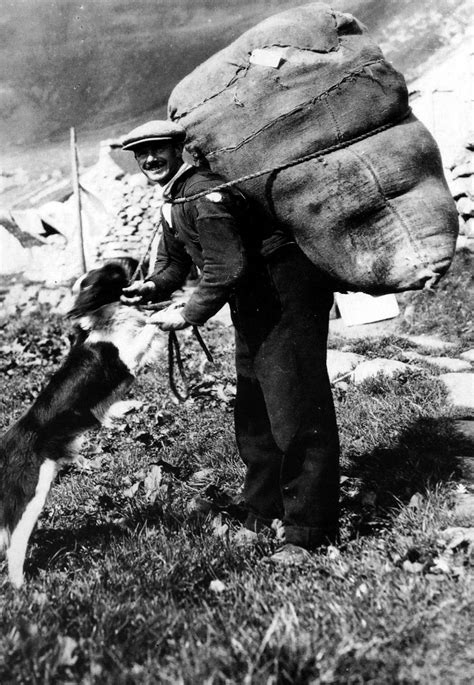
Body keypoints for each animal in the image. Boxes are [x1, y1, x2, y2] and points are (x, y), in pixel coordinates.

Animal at [0, 264, 165, 588]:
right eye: (114, 274)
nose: (132, 263)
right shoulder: (125, 358)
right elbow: (148, 329)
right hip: (30, 496)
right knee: (13, 545)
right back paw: (21, 586)